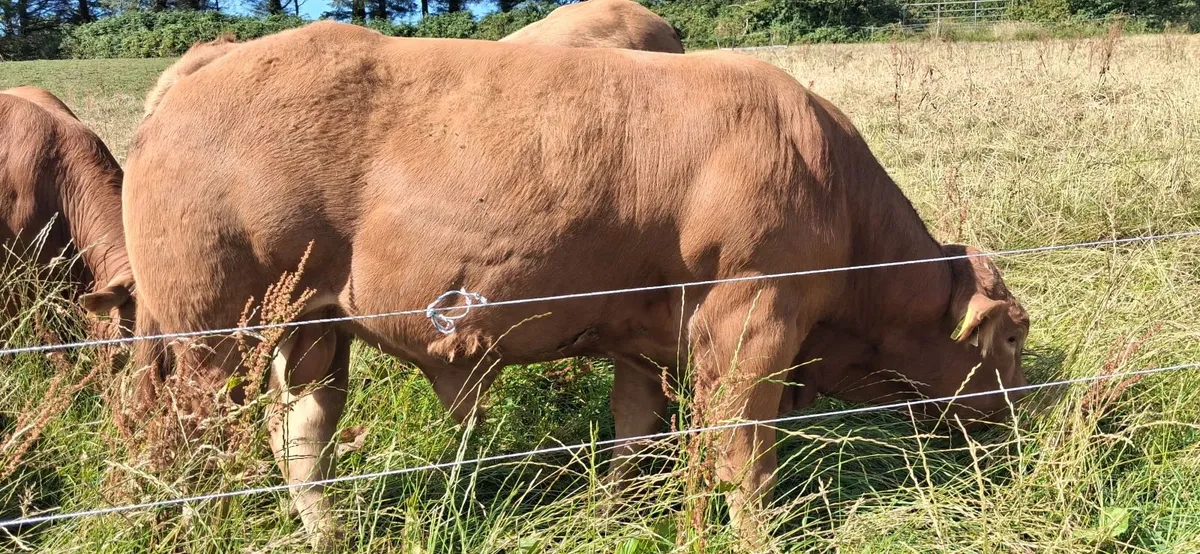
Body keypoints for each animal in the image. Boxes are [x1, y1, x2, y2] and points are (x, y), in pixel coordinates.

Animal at [122, 21, 1029, 549]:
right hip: (209, 333)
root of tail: (215, 58)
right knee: (194, 448)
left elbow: (641, 439)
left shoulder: (647, 334)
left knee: (300, 442)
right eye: (1014, 338)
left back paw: (328, 534)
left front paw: (623, 519)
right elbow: (743, 454)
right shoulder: (756, 315)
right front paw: (754, 535)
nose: (1023, 416)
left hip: (312, 328)